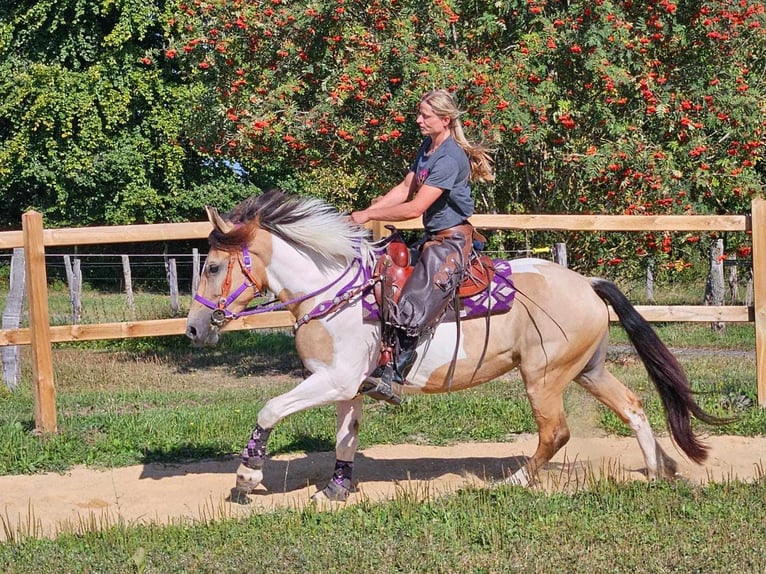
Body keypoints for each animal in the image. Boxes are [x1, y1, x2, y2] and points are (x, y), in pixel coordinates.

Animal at [184, 191, 728, 502]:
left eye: (212, 266)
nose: (193, 328)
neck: (335, 293)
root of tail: (587, 283)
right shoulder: (347, 386)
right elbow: (345, 439)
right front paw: (336, 488)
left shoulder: (333, 380)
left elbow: (270, 409)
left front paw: (247, 477)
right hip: (587, 369)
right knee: (633, 407)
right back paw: (657, 470)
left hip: (544, 378)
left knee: (555, 433)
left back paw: (516, 483)